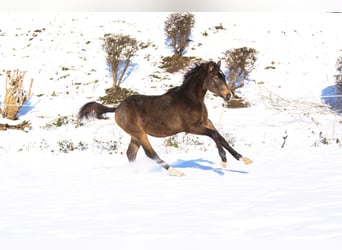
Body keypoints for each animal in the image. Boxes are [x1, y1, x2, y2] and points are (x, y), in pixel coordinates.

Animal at [79, 60, 251, 176]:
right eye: (215, 77)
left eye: (223, 76)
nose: (228, 95)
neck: (191, 99)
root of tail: (117, 108)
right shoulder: (191, 128)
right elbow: (214, 135)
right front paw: (224, 161)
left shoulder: (206, 122)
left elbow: (221, 137)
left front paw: (243, 159)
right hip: (139, 133)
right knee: (150, 154)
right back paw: (176, 172)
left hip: (135, 136)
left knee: (130, 154)